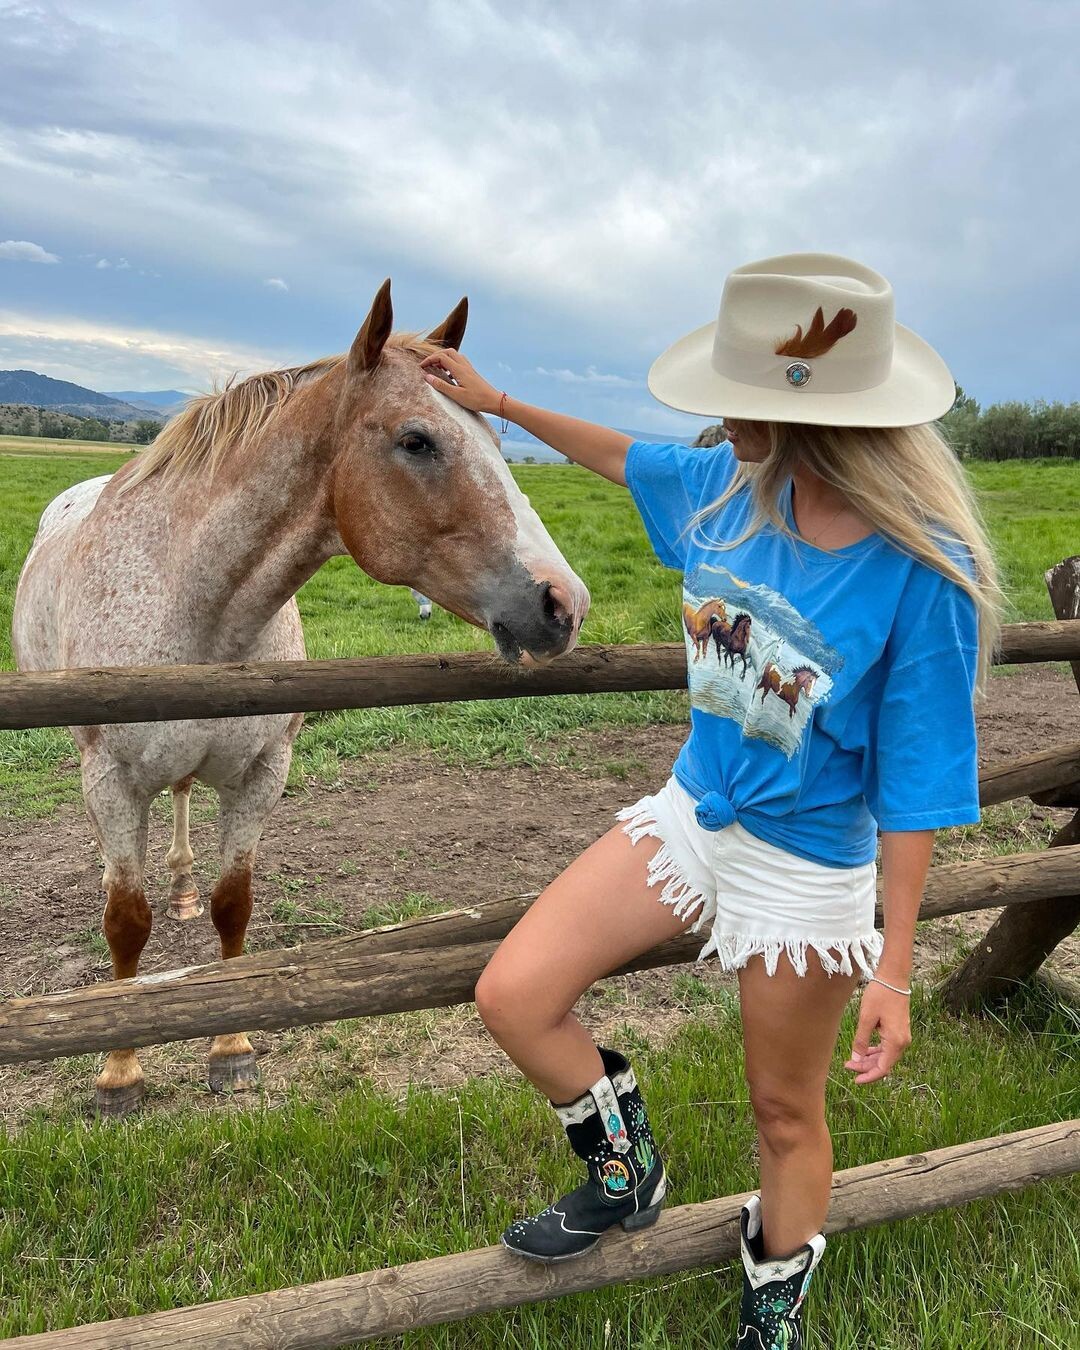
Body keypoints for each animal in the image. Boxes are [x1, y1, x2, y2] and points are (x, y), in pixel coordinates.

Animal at [11, 280, 590, 1117]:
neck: (195, 604)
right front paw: (120, 1069)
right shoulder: (112, 784)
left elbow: (233, 907)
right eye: (417, 440)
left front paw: (230, 1046)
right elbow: (125, 923)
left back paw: (181, 888)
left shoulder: (262, 774)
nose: (563, 602)